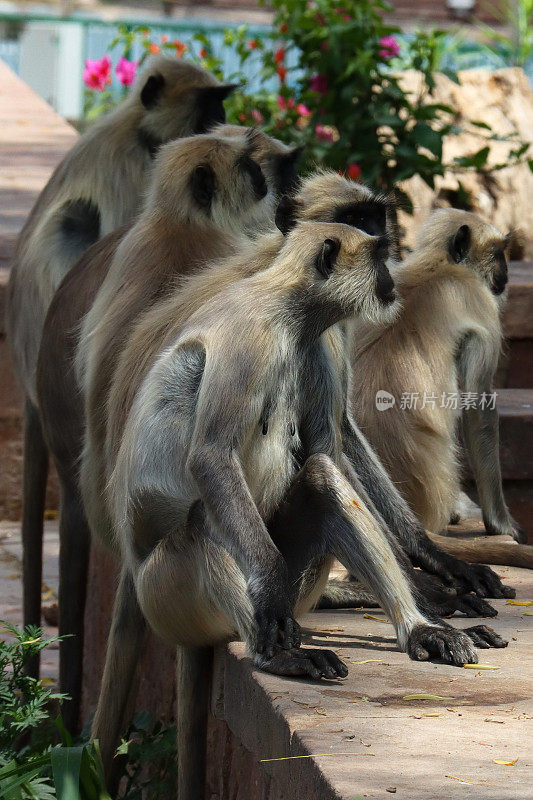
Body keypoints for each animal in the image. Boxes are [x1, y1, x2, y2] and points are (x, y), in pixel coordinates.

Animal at [89, 219, 504, 780]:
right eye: (378, 256)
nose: (390, 281)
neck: (284, 309)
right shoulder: (250, 336)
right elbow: (212, 456)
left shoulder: (316, 345)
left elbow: (330, 452)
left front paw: (433, 583)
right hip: (166, 596)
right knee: (200, 528)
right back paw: (277, 653)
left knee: (322, 478)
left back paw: (419, 630)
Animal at [350, 209, 528, 548]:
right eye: (498, 254)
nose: (506, 272)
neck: (438, 265)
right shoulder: (482, 306)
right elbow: (480, 410)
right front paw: (501, 524)